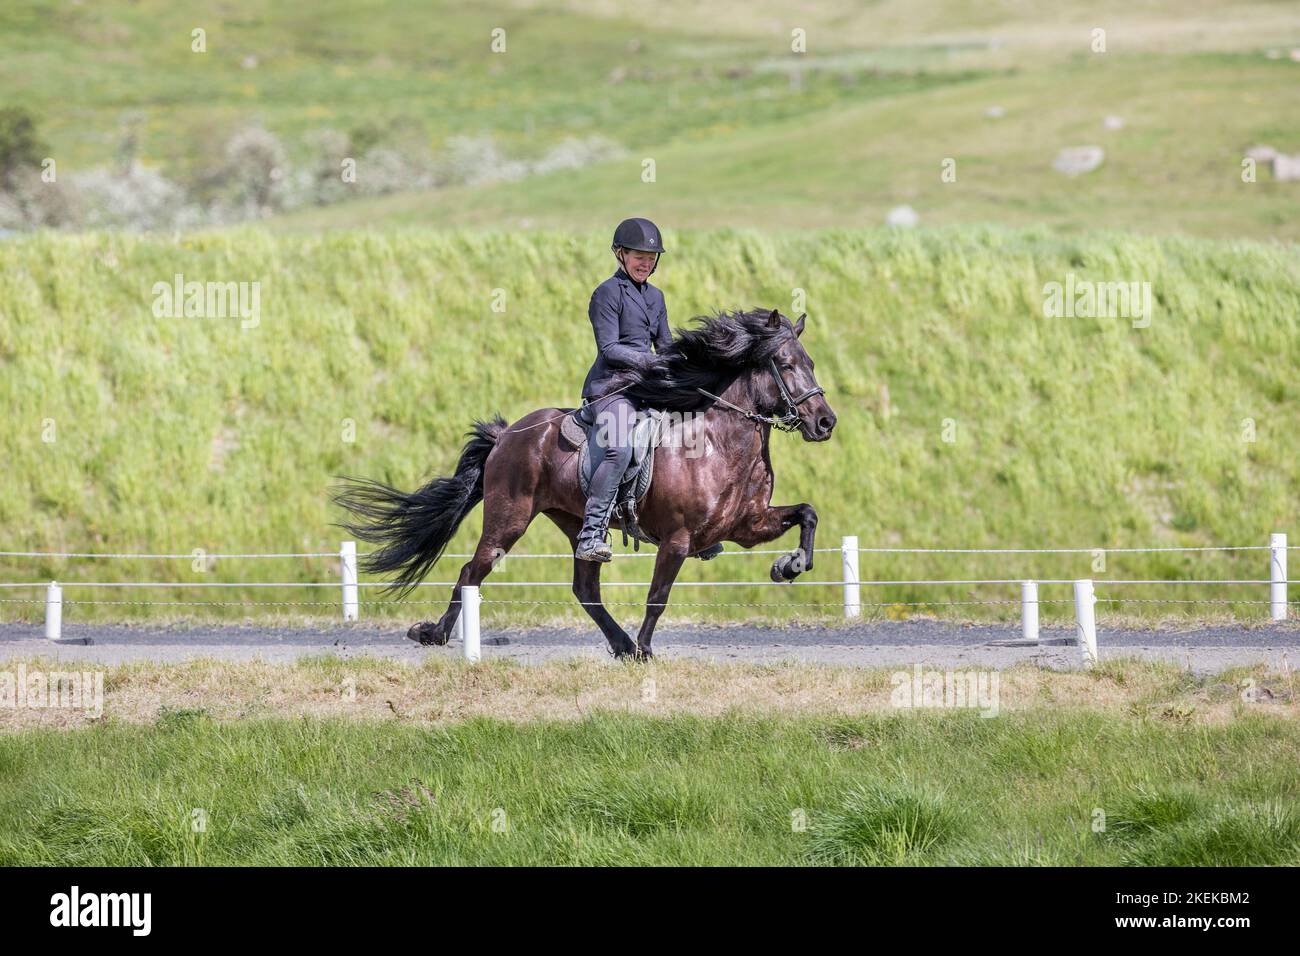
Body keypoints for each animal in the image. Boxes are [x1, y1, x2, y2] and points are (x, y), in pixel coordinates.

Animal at [334, 307, 837, 659]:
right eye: (785, 364)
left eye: (810, 362)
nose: (825, 422)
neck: (716, 443)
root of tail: (507, 434)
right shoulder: (677, 539)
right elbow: (658, 597)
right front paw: (648, 649)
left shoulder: (746, 527)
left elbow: (808, 513)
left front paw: (790, 565)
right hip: (509, 517)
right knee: (471, 572)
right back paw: (435, 634)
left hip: (574, 522)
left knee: (585, 589)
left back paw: (621, 645)